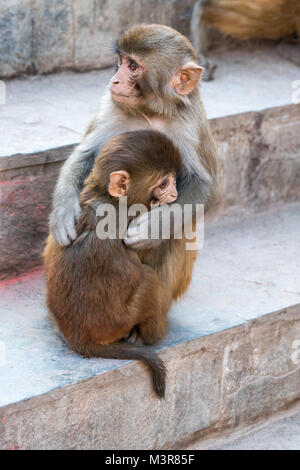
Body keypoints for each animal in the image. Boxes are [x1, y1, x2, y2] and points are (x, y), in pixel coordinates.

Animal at [43, 129, 180, 396]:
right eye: (163, 183)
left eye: (172, 180)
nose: (175, 194)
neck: (107, 197)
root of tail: (80, 339)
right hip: (119, 322)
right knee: (149, 279)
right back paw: (152, 335)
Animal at [50, 23, 217, 298]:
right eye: (121, 61)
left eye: (132, 66)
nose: (114, 80)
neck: (150, 112)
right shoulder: (111, 108)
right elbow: (87, 154)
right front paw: (63, 212)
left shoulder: (189, 125)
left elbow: (203, 184)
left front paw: (155, 227)